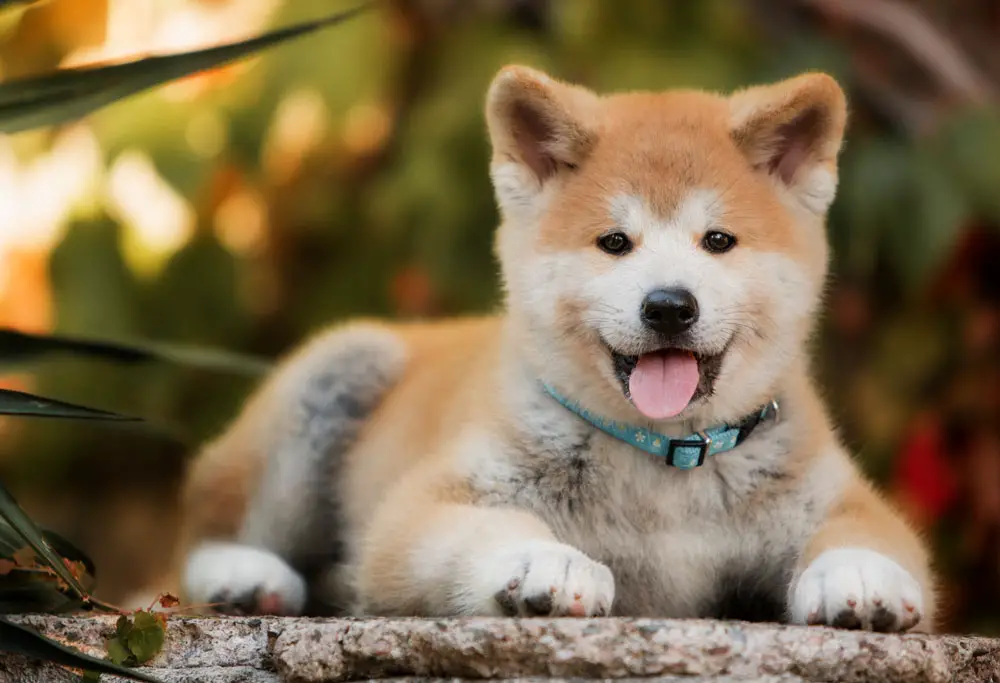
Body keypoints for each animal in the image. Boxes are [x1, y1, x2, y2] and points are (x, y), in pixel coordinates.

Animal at [180, 67, 936, 632]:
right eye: (614, 242)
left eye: (718, 240)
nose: (669, 306)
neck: (665, 470)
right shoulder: (419, 509)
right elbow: (487, 527)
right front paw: (546, 562)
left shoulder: (839, 499)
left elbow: (864, 534)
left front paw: (859, 574)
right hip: (339, 370)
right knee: (195, 544)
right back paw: (242, 575)